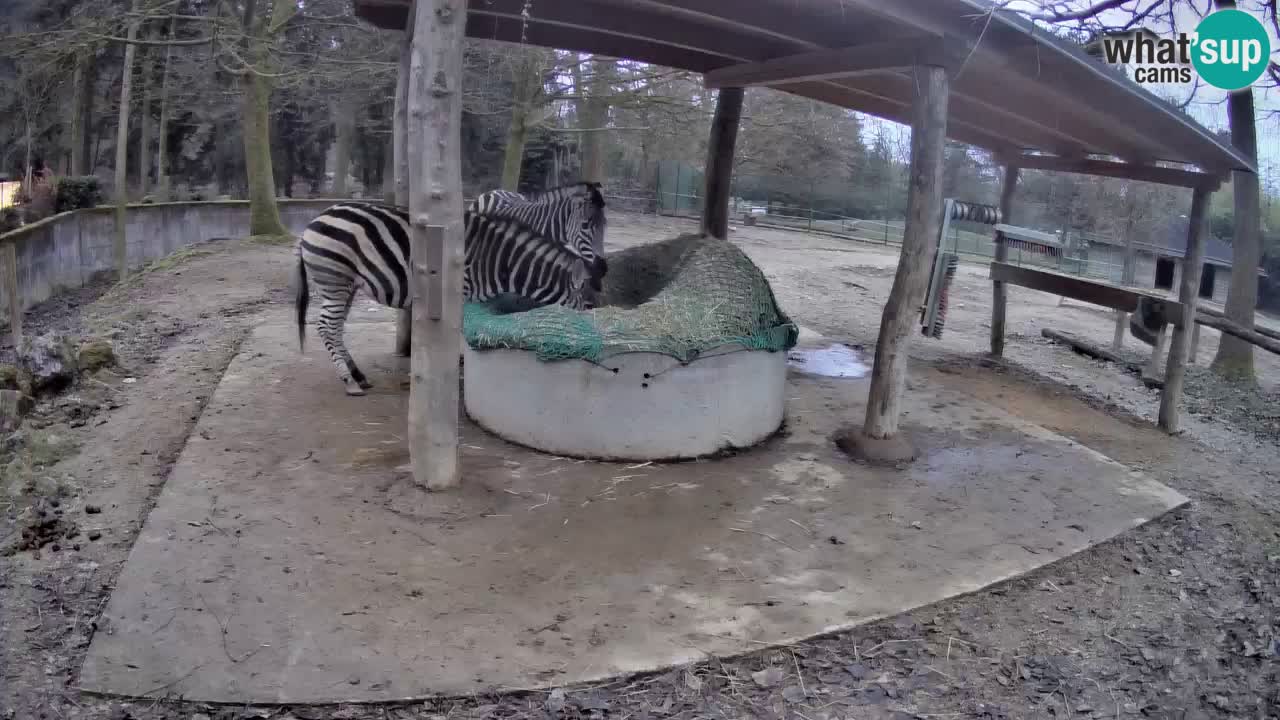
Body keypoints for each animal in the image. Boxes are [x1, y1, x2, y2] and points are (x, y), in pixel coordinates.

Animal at [295, 201, 595, 396]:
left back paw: (358, 375)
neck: (500, 261)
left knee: (336, 329)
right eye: (587, 307)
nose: (590, 343)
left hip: (347, 284)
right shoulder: (461, 292)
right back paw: (349, 381)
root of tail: (316, 219)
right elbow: (459, 333)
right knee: (326, 327)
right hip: (335, 280)